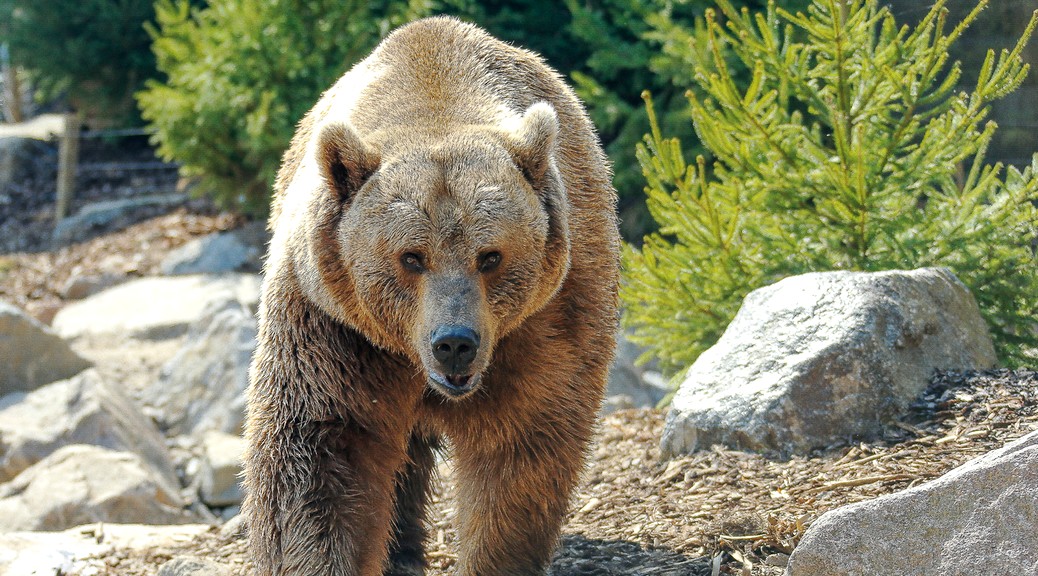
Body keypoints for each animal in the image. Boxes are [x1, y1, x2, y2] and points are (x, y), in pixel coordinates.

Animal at [240, 14, 614, 576]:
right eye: (411, 256)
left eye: (490, 256)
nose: (454, 343)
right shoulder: (332, 326)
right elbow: (321, 452)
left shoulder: (545, 321)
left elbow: (523, 446)